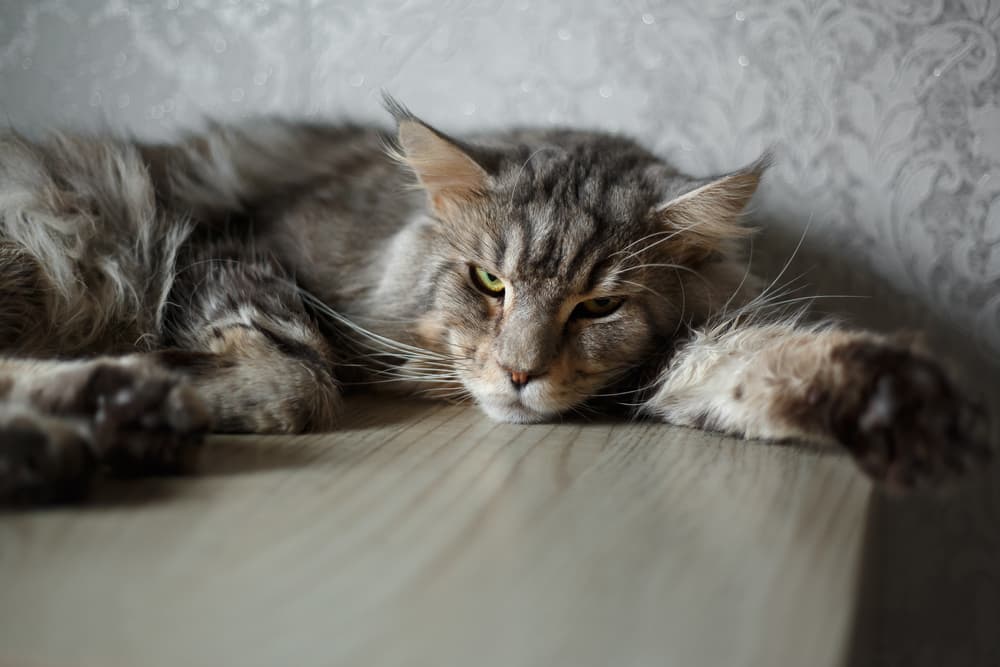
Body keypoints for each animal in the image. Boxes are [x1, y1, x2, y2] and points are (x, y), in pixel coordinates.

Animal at [0, 95, 988, 500]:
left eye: (598, 307)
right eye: (489, 281)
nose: (518, 375)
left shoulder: (673, 354)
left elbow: (746, 364)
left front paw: (896, 398)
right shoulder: (232, 244)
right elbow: (295, 378)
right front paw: (173, 380)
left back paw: (80, 427)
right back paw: (112, 409)